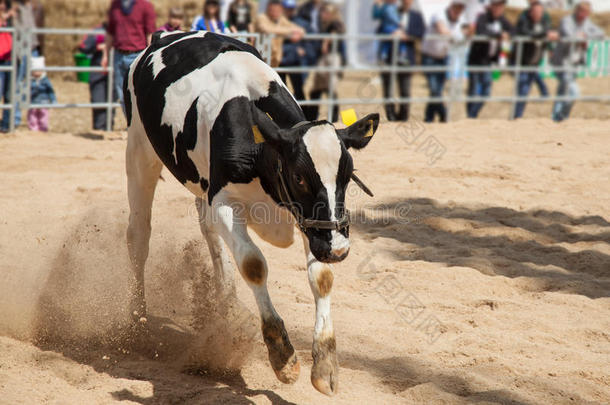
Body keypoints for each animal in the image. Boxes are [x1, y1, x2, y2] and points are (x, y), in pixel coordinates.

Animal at [126, 30, 378, 394]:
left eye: (347, 174)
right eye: (299, 176)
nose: (339, 249)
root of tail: (163, 35)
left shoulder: (308, 220)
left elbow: (322, 277)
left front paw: (325, 364)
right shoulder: (225, 202)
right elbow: (253, 265)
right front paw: (282, 355)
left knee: (211, 238)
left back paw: (227, 306)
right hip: (139, 150)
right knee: (139, 236)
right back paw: (137, 319)